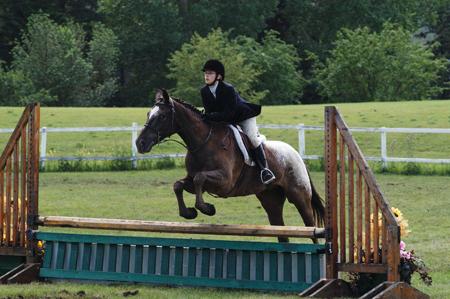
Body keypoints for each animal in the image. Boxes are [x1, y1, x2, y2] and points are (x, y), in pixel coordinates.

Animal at [135, 89, 326, 244]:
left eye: (162, 116)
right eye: (148, 113)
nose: (140, 143)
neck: (203, 142)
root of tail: (297, 155)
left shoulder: (225, 181)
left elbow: (199, 178)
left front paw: (207, 208)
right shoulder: (193, 180)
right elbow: (179, 185)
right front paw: (189, 212)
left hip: (299, 195)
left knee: (311, 228)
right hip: (270, 199)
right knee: (281, 231)